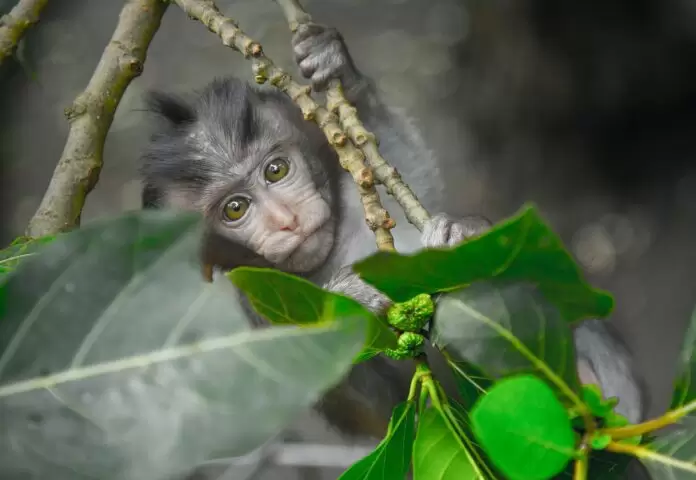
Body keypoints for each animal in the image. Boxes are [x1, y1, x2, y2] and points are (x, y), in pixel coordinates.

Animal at [139, 21, 644, 446]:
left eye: (276, 170)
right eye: (235, 209)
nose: (285, 219)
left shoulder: (353, 191)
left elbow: (398, 169)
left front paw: (336, 64)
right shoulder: (249, 307)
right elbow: (375, 411)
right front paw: (349, 299)